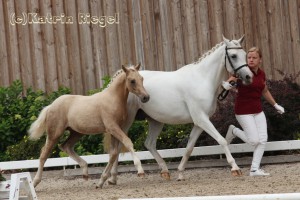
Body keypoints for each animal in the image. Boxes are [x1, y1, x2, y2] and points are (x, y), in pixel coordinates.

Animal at [106, 35, 253, 184]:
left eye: (245, 54)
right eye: (233, 56)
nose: (248, 77)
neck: (202, 80)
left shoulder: (199, 122)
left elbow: (189, 148)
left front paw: (180, 173)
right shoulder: (201, 119)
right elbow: (221, 140)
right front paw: (235, 168)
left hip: (155, 121)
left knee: (149, 144)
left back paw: (164, 171)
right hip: (128, 120)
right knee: (119, 144)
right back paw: (113, 178)